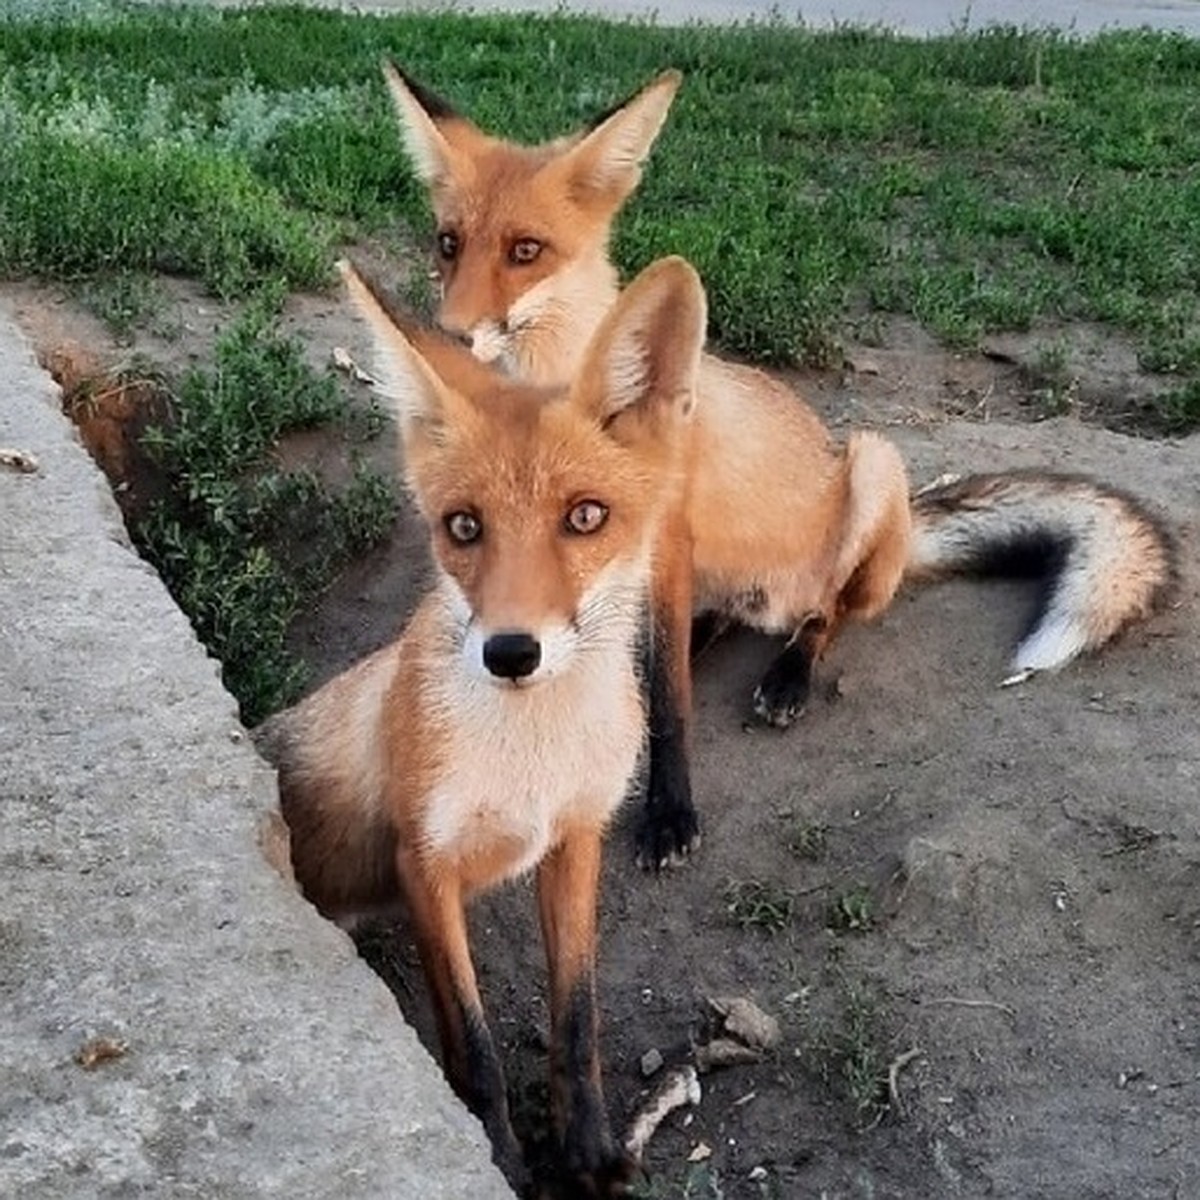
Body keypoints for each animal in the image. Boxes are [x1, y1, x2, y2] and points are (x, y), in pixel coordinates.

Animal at [253, 255, 700, 1190]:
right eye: (464, 527)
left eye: (586, 516)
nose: (511, 651)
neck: (532, 764)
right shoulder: (423, 864)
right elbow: (477, 1051)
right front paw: (499, 1161)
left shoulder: (575, 840)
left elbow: (577, 1023)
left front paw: (589, 1153)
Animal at [386, 60, 1180, 868]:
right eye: (448, 244)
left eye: (526, 250)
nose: (447, 336)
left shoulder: (660, 544)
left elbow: (669, 702)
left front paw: (669, 812)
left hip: (872, 465)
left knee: (827, 612)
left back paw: (790, 674)